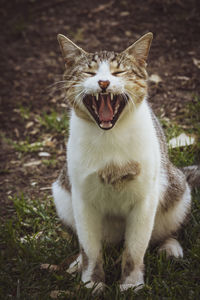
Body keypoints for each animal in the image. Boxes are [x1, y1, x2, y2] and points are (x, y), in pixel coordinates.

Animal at [52, 32, 200, 292]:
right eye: (89, 73)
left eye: (118, 72)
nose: (103, 83)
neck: (109, 137)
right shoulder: (82, 199)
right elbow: (91, 249)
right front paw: (92, 283)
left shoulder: (144, 200)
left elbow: (134, 250)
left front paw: (131, 285)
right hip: (62, 195)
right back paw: (77, 263)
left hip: (177, 192)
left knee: (167, 230)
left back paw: (170, 247)